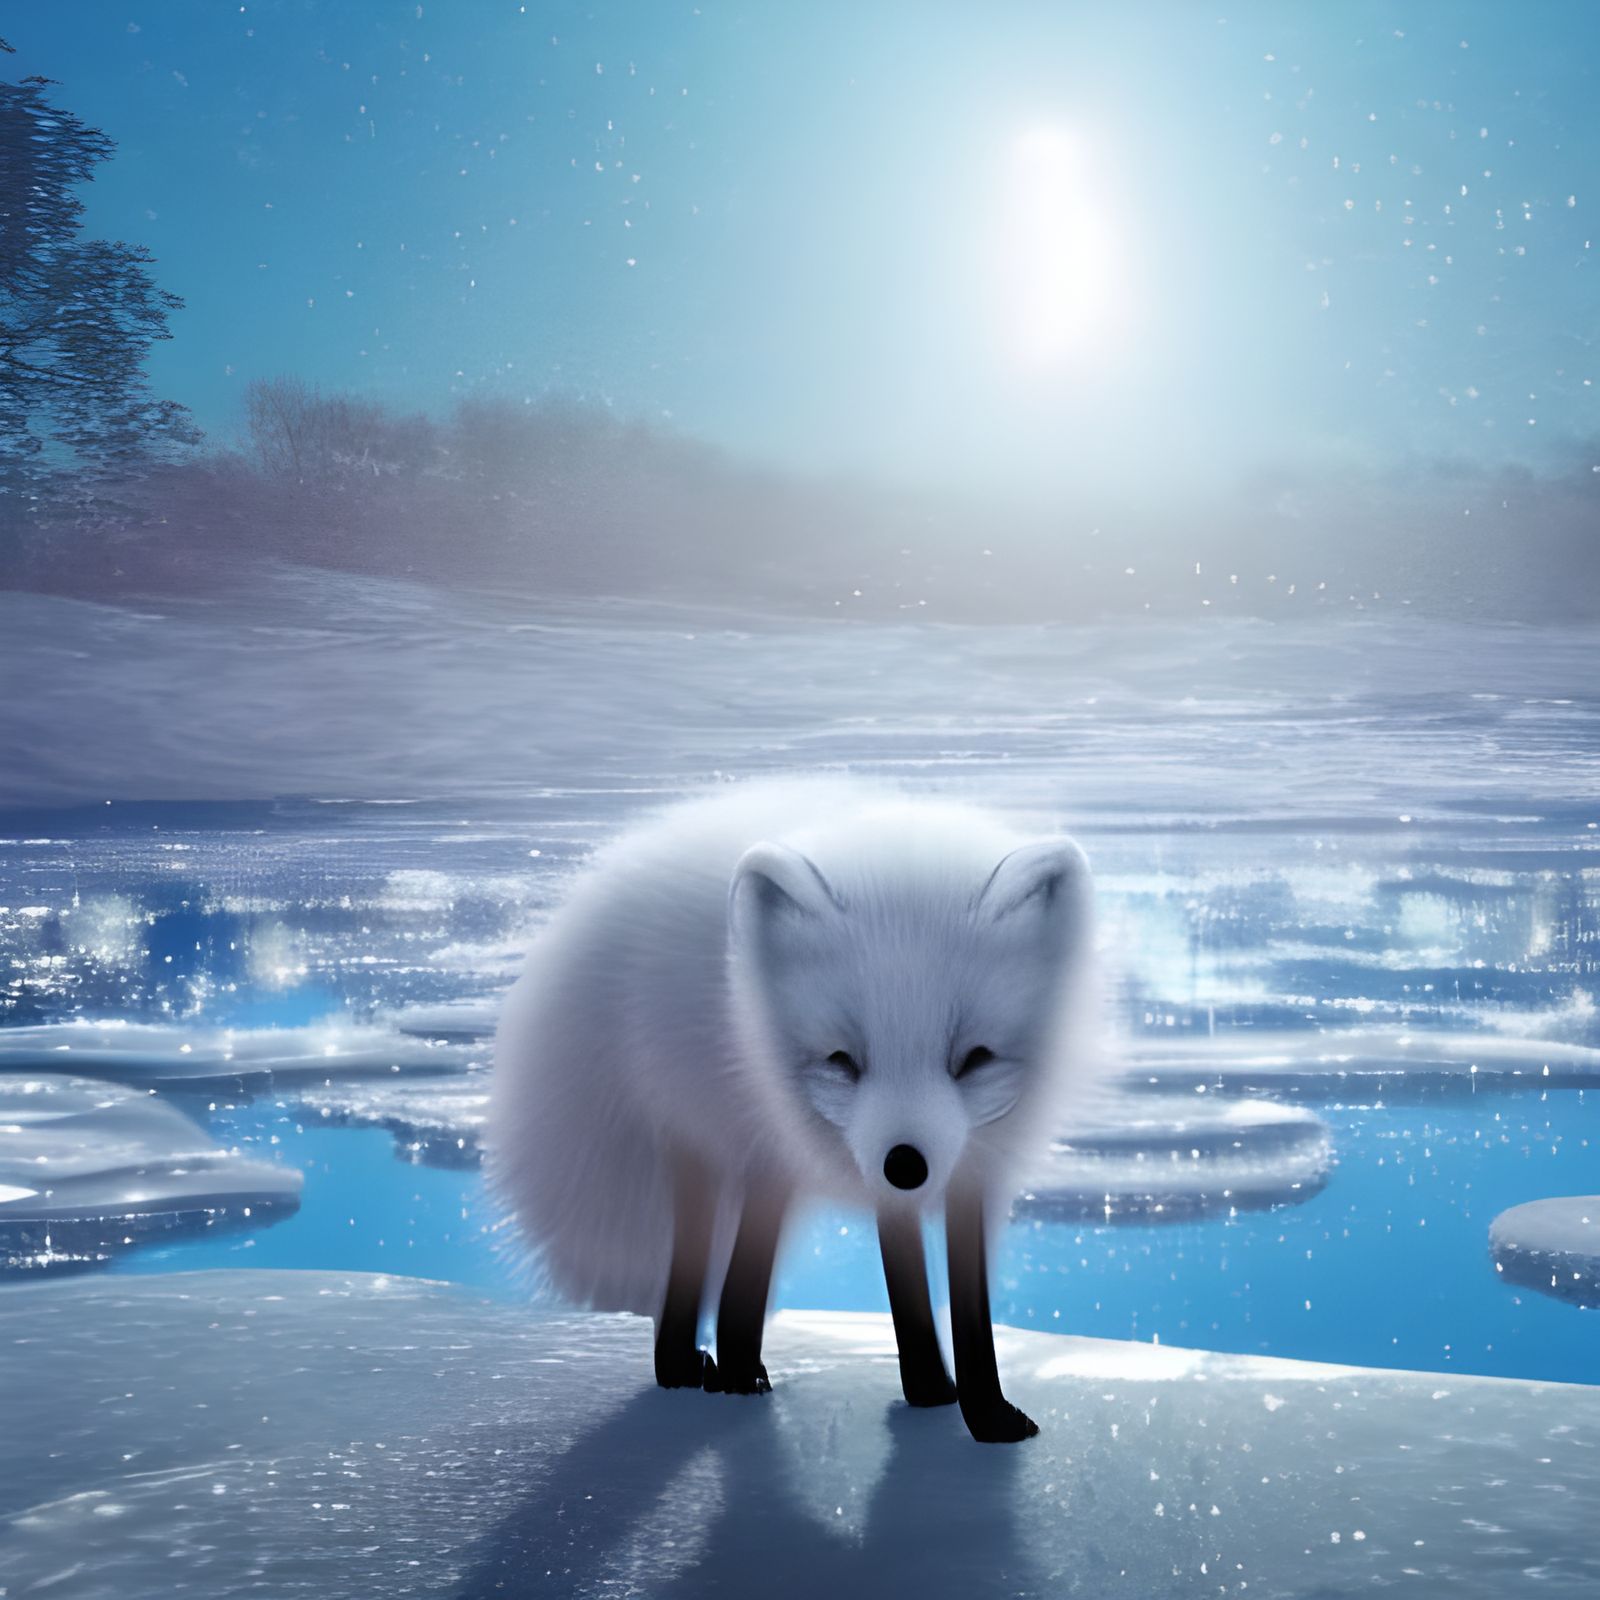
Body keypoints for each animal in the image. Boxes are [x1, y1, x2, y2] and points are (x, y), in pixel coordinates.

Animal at [486, 778, 1096, 1444]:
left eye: (975, 1059)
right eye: (841, 1060)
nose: (906, 1166)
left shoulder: (968, 1166)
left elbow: (967, 1301)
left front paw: (978, 1410)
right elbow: (907, 1278)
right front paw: (934, 1392)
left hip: (767, 1157)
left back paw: (737, 1366)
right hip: (712, 1138)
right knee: (703, 1256)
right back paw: (696, 1368)